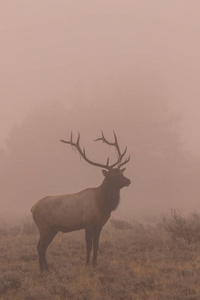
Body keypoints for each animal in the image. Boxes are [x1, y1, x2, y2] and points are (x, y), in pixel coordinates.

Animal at [31, 132, 130, 270]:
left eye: (121, 173)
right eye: (112, 176)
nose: (128, 181)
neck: (103, 204)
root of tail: (32, 208)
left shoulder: (99, 224)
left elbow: (96, 245)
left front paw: (95, 264)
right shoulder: (88, 222)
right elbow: (89, 245)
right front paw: (87, 264)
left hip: (52, 229)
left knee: (42, 247)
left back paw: (47, 268)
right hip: (44, 227)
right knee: (40, 247)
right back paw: (42, 270)